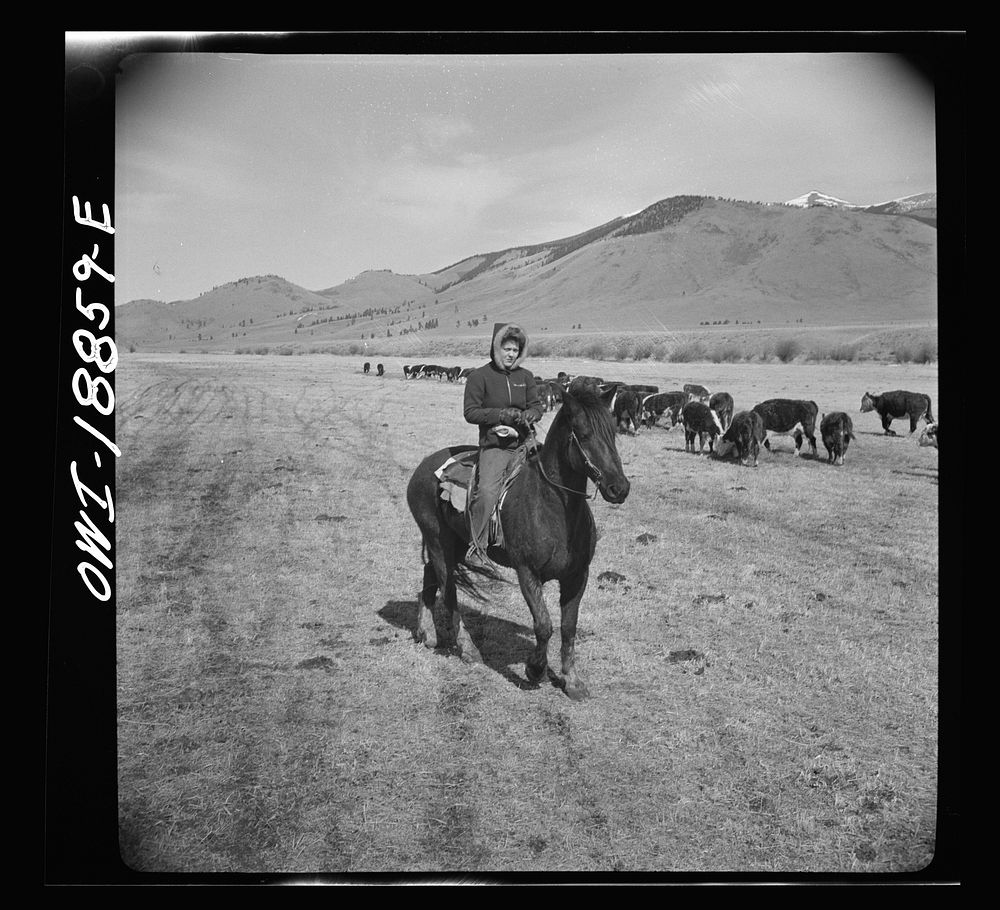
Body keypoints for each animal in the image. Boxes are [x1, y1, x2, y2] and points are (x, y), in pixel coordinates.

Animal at [404, 382, 624, 700]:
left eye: (612, 433)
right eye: (583, 434)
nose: (619, 488)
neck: (553, 509)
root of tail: (423, 466)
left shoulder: (577, 576)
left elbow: (568, 628)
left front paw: (571, 681)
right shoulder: (527, 573)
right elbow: (544, 625)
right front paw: (535, 670)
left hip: (453, 545)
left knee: (429, 578)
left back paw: (427, 634)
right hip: (438, 541)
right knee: (448, 592)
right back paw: (468, 649)